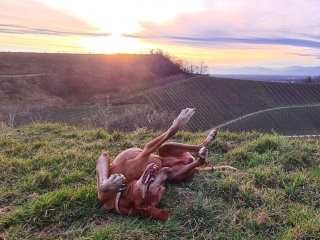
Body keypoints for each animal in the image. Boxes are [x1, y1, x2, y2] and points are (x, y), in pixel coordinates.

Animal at [96, 109, 236, 221]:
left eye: (162, 189)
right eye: (158, 189)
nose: (166, 170)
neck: (120, 194)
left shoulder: (104, 157)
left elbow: (170, 131)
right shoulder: (144, 151)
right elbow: (170, 132)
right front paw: (111, 183)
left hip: (166, 147)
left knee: (197, 146)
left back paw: (208, 139)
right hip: (179, 170)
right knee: (199, 159)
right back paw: (201, 152)